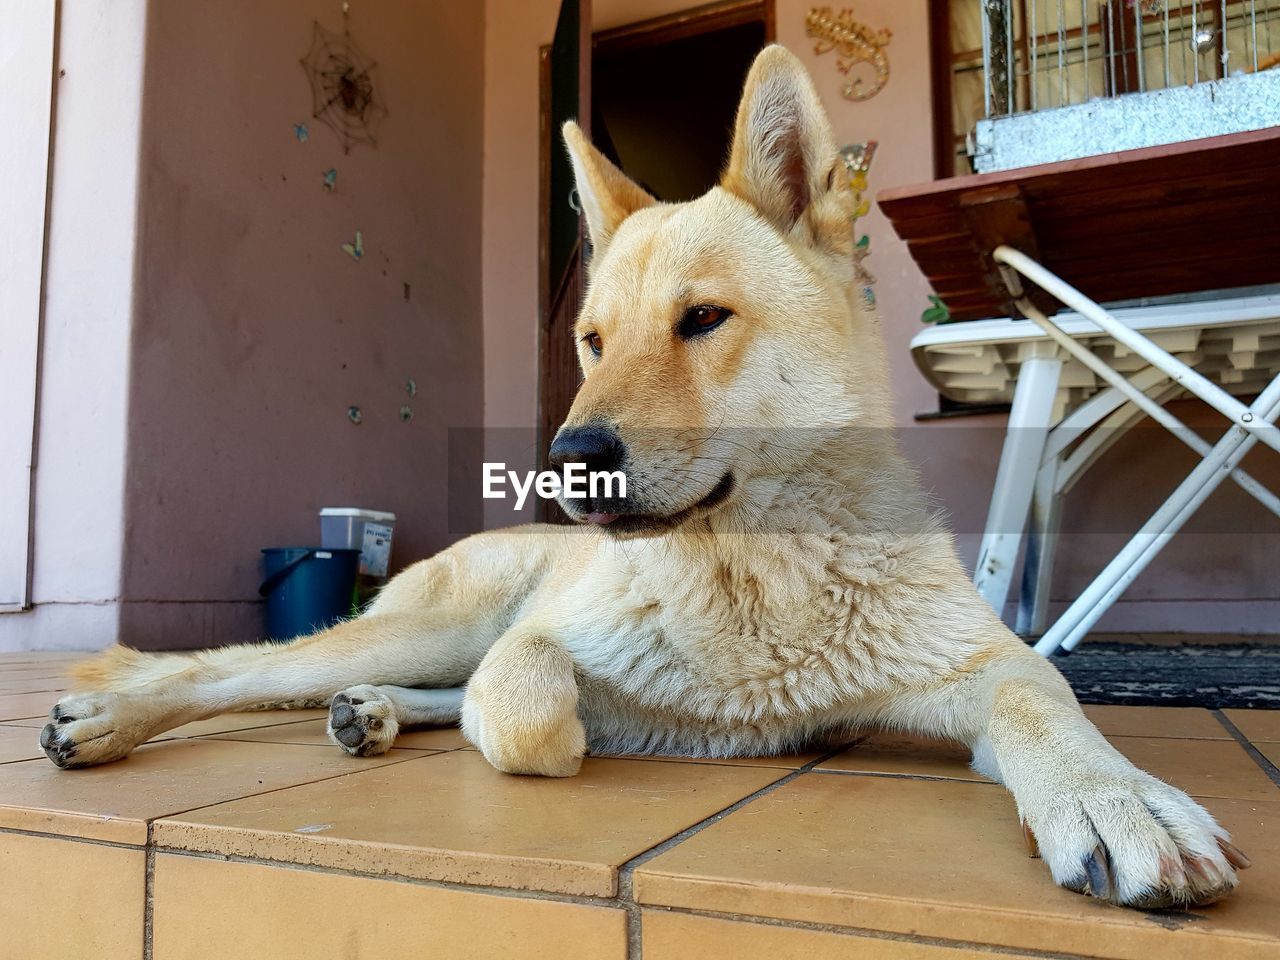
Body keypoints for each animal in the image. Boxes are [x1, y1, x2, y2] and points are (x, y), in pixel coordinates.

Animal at [45, 47, 1244, 916]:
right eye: (590, 340)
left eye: (702, 319)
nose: (568, 462)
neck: (753, 581)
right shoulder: (541, 644)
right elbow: (528, 706)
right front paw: (582, 728)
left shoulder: (979, 667)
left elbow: (1044, 699)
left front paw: (1114, 795)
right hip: (431, 622)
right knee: (231, 672)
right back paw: (112, 714)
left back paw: (375, 715)